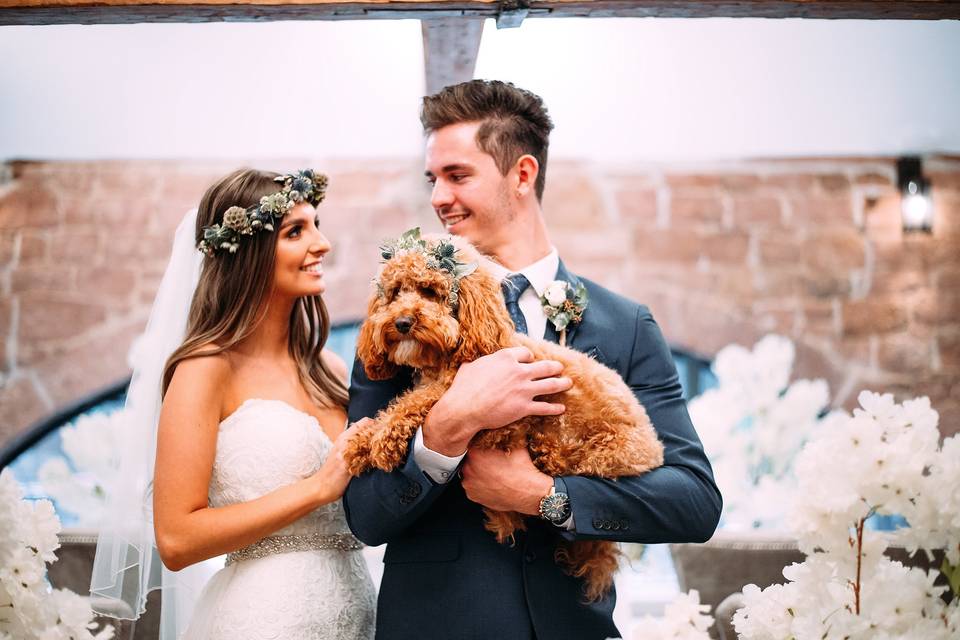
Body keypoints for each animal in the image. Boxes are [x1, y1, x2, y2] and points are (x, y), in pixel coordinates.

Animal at [344, 236, 668, 600]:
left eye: (429, 291)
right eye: (396, 292)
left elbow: (418, 400)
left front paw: (381, 439)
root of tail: (656, 448)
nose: (401, 322)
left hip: (598, 448)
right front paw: (359, 442)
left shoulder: (467, 388)